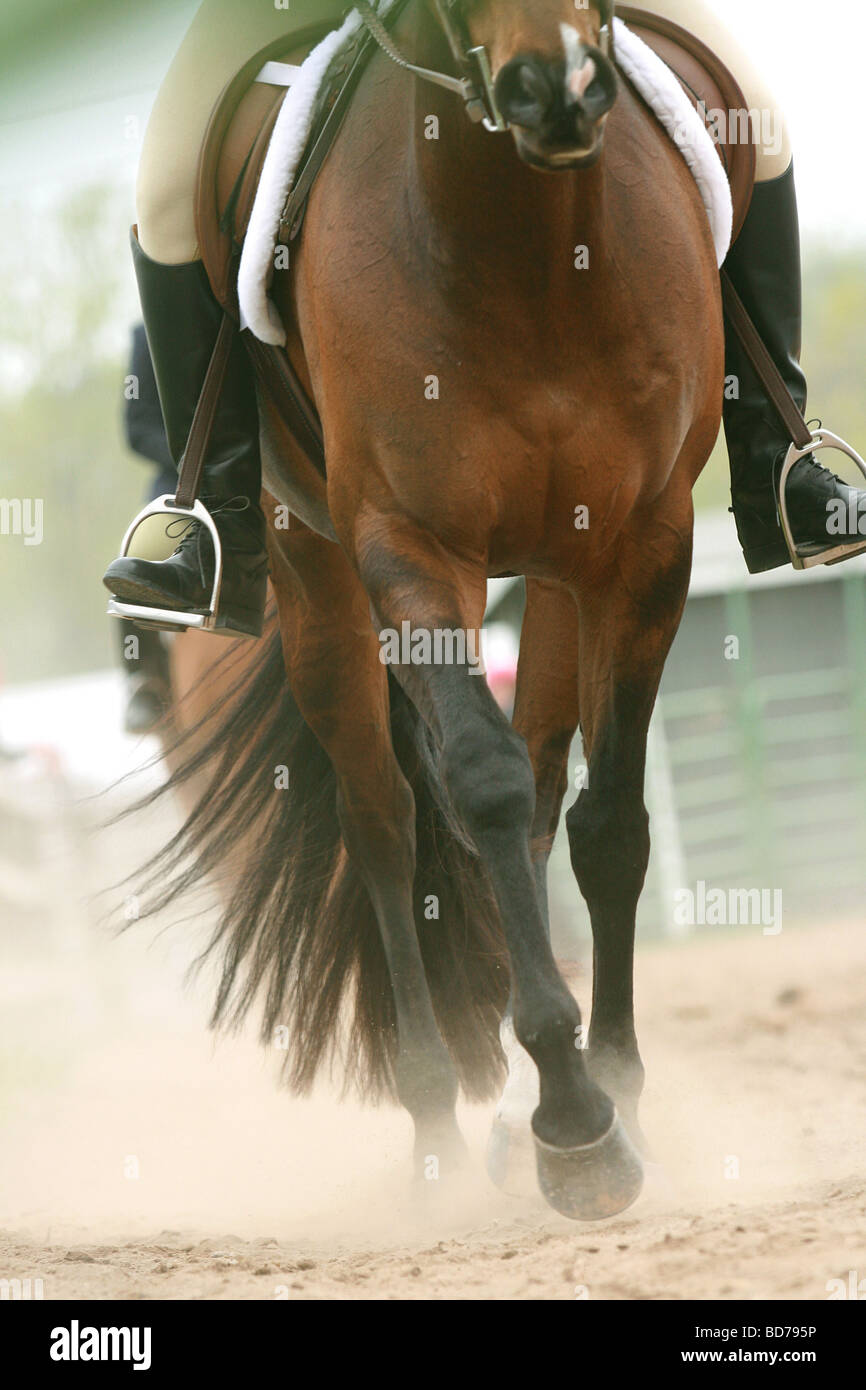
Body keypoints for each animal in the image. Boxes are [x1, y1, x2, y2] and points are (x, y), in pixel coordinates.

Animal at [135, 0, 723, 1222]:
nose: (556, 90)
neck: (527, 245)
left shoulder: (642, 545)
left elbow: (608, 824)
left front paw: (611, 1091)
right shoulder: (408, 548)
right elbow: (480, 786)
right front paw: (574, 1123)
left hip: (557, 575)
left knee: (542, 788)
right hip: (315, 577)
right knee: (385, 821)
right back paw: (442, 1132)